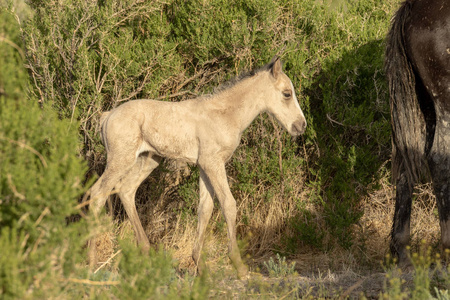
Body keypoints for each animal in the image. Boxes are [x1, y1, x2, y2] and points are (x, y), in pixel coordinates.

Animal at [88, 56, 306, 278]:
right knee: (97, 193)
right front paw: (239, 266)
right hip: (120, 159)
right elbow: (228, 204)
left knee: (126, 190)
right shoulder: (213, 163)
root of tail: (107, 116)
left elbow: (205, 209)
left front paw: (200, 265)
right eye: (287, 93)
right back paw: (91, 262)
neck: (225, 114)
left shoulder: (204, 166)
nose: (301, 126)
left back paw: (146, 252)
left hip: (148, 160)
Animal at [384, 0, 450, 264]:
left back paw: (400, 249)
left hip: (424, 105)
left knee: (406, 162)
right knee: (439, 160)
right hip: (444, 100)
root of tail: (411, 8)